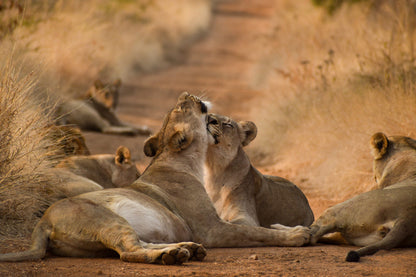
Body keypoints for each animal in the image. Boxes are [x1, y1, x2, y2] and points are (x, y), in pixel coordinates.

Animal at [0, 92, 308, 264]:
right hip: (106, 219)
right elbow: (257, 232)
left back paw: (184, 250)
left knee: (138, 244)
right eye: (180, 108)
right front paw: (297, 234)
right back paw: (172, 256)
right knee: (129, 251)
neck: (192, 162)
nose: (186, 93)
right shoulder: (212, 229)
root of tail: (42, 223)